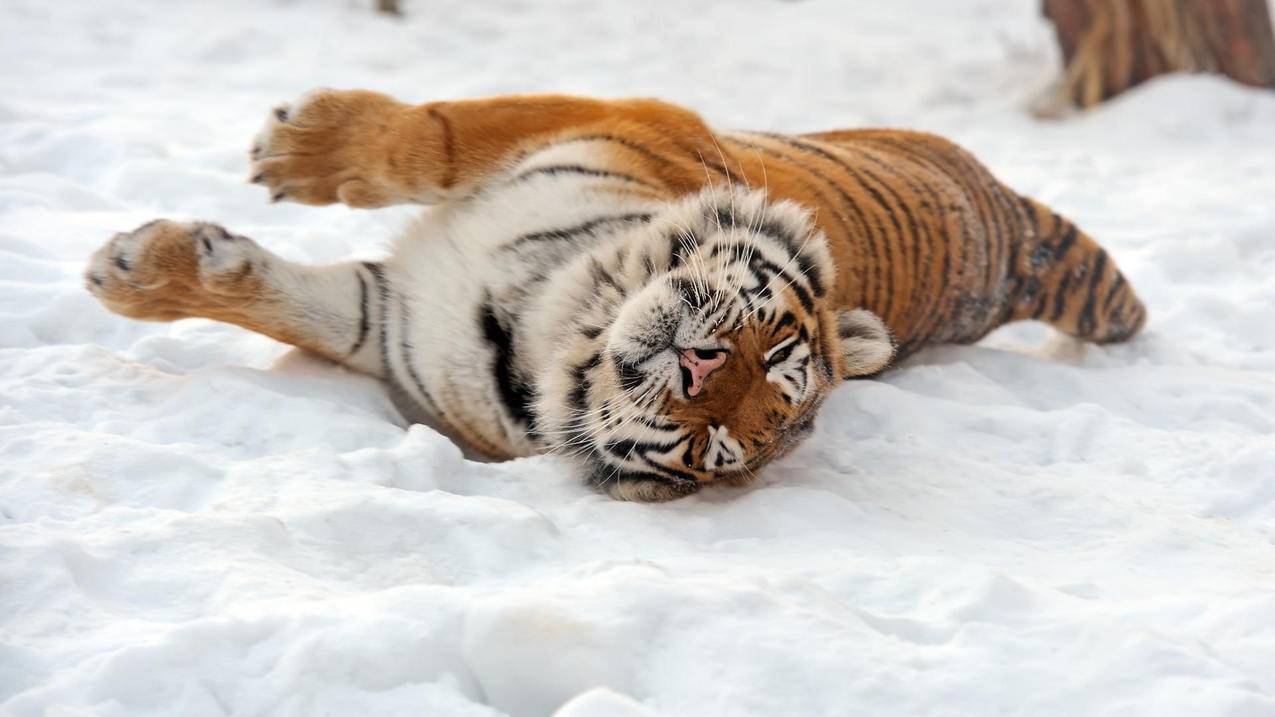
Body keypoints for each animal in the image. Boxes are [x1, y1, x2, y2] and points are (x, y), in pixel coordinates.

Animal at [84, 89, 1152, 500]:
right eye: (775, 351)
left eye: (715, 443)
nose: (696, 368)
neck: (548, 317)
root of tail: (1009, 226)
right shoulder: (607, 115)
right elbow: (428, 139)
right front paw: (295, 147)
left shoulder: (385, 325)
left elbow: (297, 302)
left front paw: (132, 268)